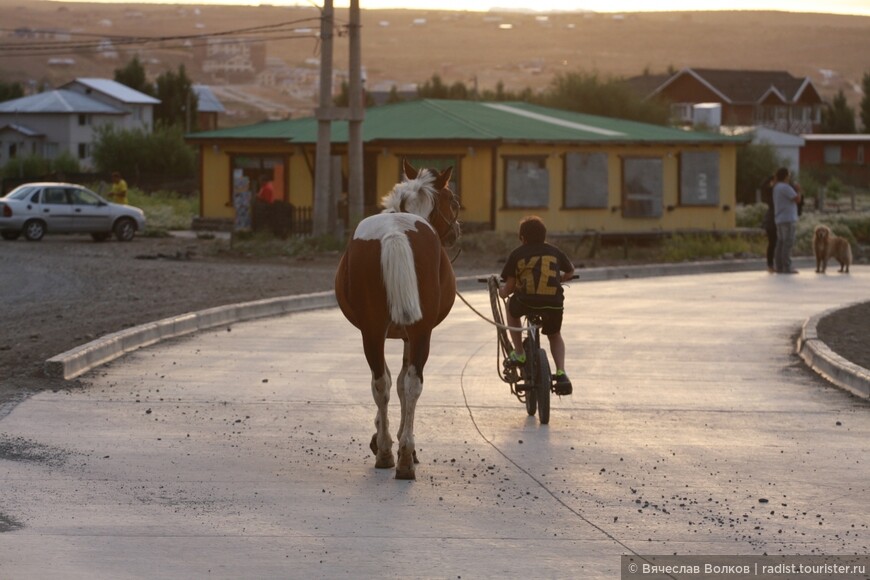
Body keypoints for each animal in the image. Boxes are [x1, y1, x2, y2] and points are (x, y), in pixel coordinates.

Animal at [336, 159, 464, 480]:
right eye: (453, 200)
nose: (456, 231)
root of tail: (394, 234)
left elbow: (392, 382)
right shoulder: (411, 335)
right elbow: (405, 386)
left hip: (371, 329)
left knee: (380, 383)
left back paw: (386, 452)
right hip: (420, 332)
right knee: (412, 384)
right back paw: (402, 456)